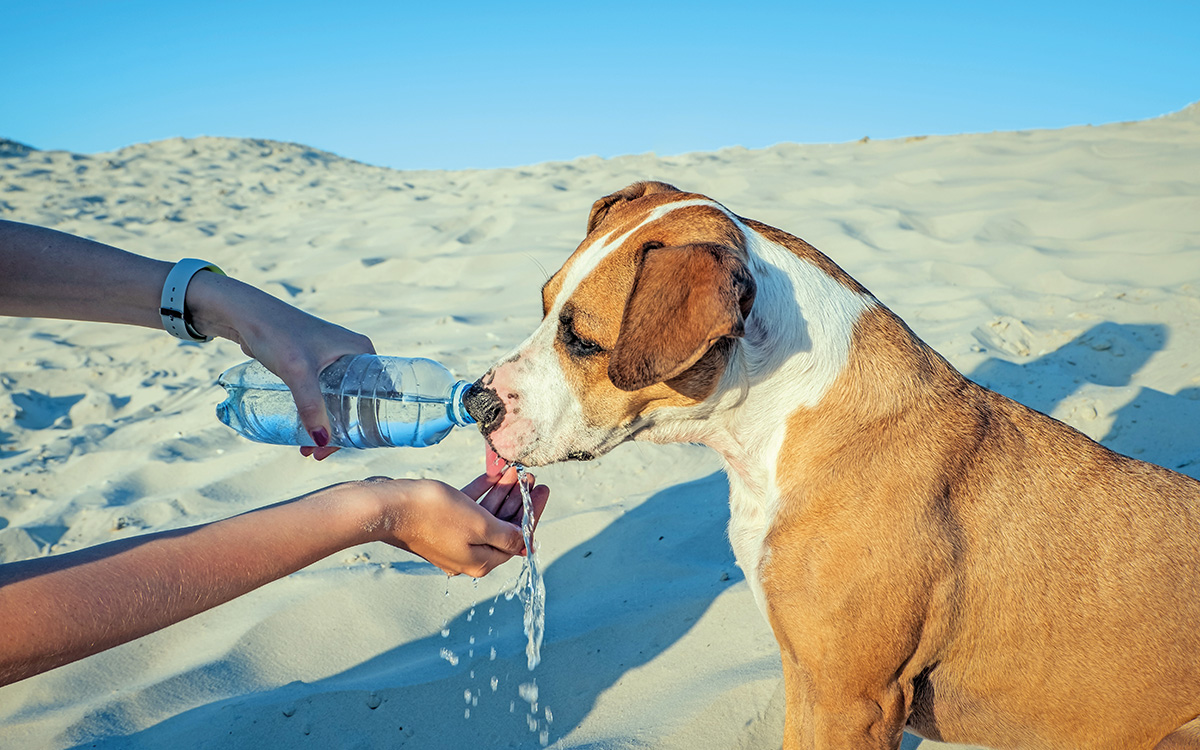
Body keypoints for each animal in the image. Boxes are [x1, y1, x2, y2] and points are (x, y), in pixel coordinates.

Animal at [468, 181, 1200, 748]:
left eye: (584, 339)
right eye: (543, 306)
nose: (476, 401)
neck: (775, 423)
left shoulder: (853, 698)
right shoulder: (807, 676)